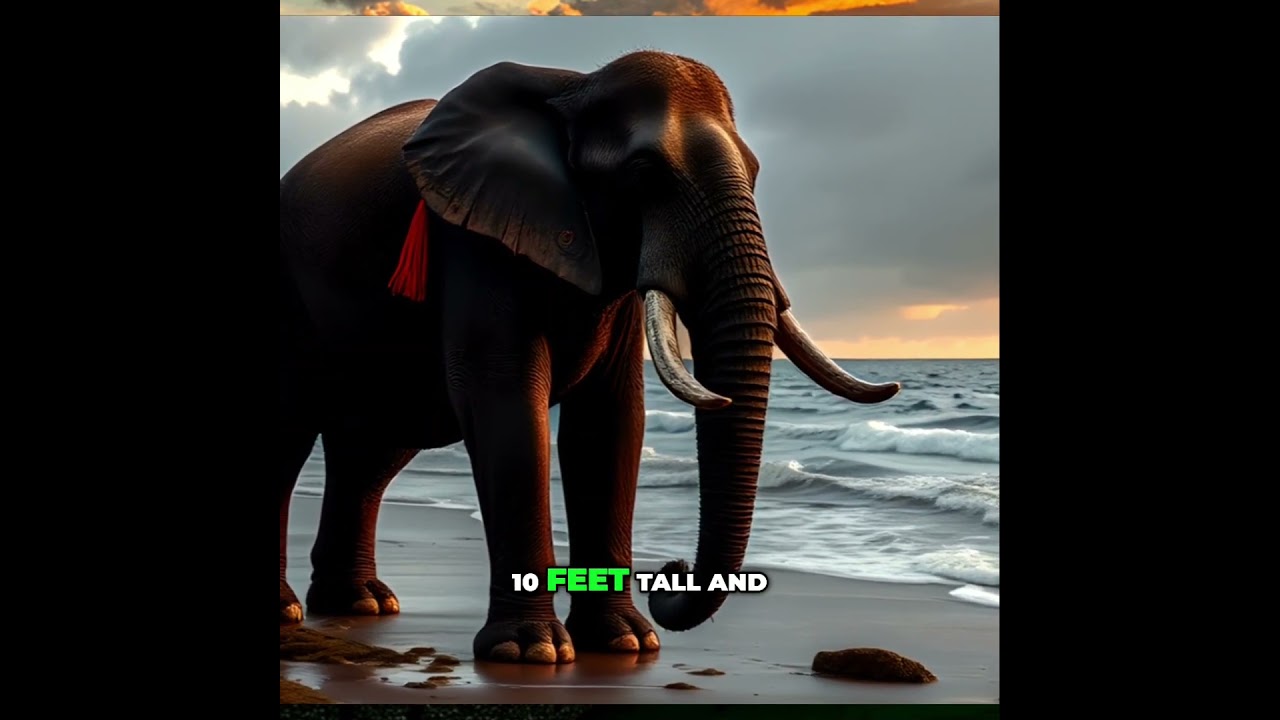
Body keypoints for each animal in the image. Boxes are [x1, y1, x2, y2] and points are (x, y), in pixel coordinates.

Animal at [278, 50, 901, 665]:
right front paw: (530, 652)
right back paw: (294, 610)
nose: (671, 572)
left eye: (754, 172)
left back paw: (361, 603)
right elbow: (506, 401)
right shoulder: (476, 238)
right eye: (644, 173)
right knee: (295, 437)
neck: (575, 86)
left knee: (373, 454)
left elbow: (611, 420)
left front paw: (626, 642)